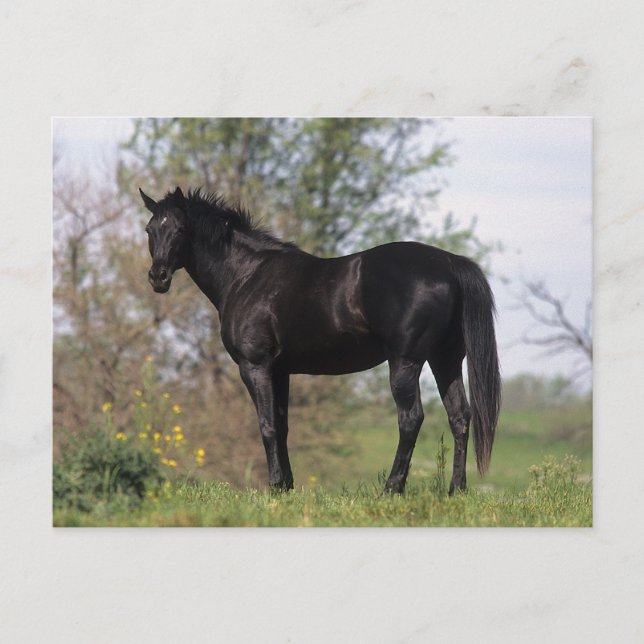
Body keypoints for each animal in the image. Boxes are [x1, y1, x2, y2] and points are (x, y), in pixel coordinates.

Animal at [139, 186, 501, 495]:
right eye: (149, 229)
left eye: (180, 229)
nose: (158, 277)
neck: (246, 275)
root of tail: (449, 263)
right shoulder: (280, 370)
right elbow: (282, 426)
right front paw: (286, 486)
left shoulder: (255, 366)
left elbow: (267, 425)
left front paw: (274, 486)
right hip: (446, 360)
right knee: (460, 417)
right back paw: (456, 489)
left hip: (406, 362)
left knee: (411, 419)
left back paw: (392, 488)